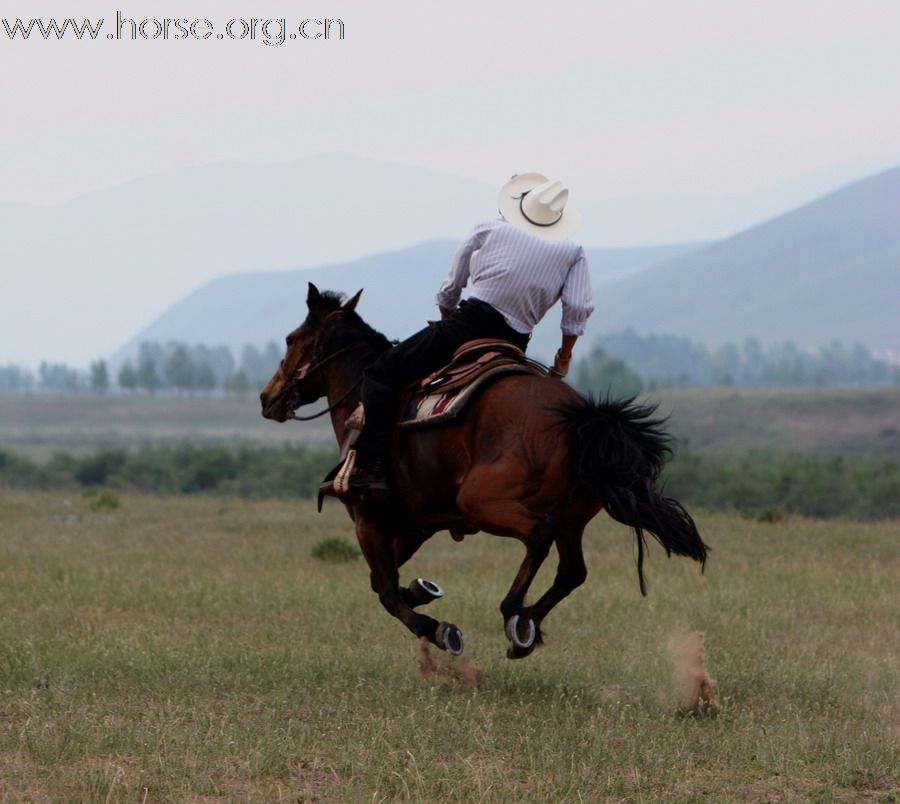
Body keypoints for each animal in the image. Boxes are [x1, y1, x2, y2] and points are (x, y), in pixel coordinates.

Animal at [260, 286, 712, 656]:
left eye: (290, 339)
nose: (267, 396)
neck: (364, 403)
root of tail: (578, 415)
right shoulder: (416, 523)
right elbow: (385, 582)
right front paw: (422, 590)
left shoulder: (368, 518)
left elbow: (386, 591)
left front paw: (439, 629)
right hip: (572, 516)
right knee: (572, 570)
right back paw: (529, 627)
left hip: (485, 501)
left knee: (538, 537)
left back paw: (515, 616)